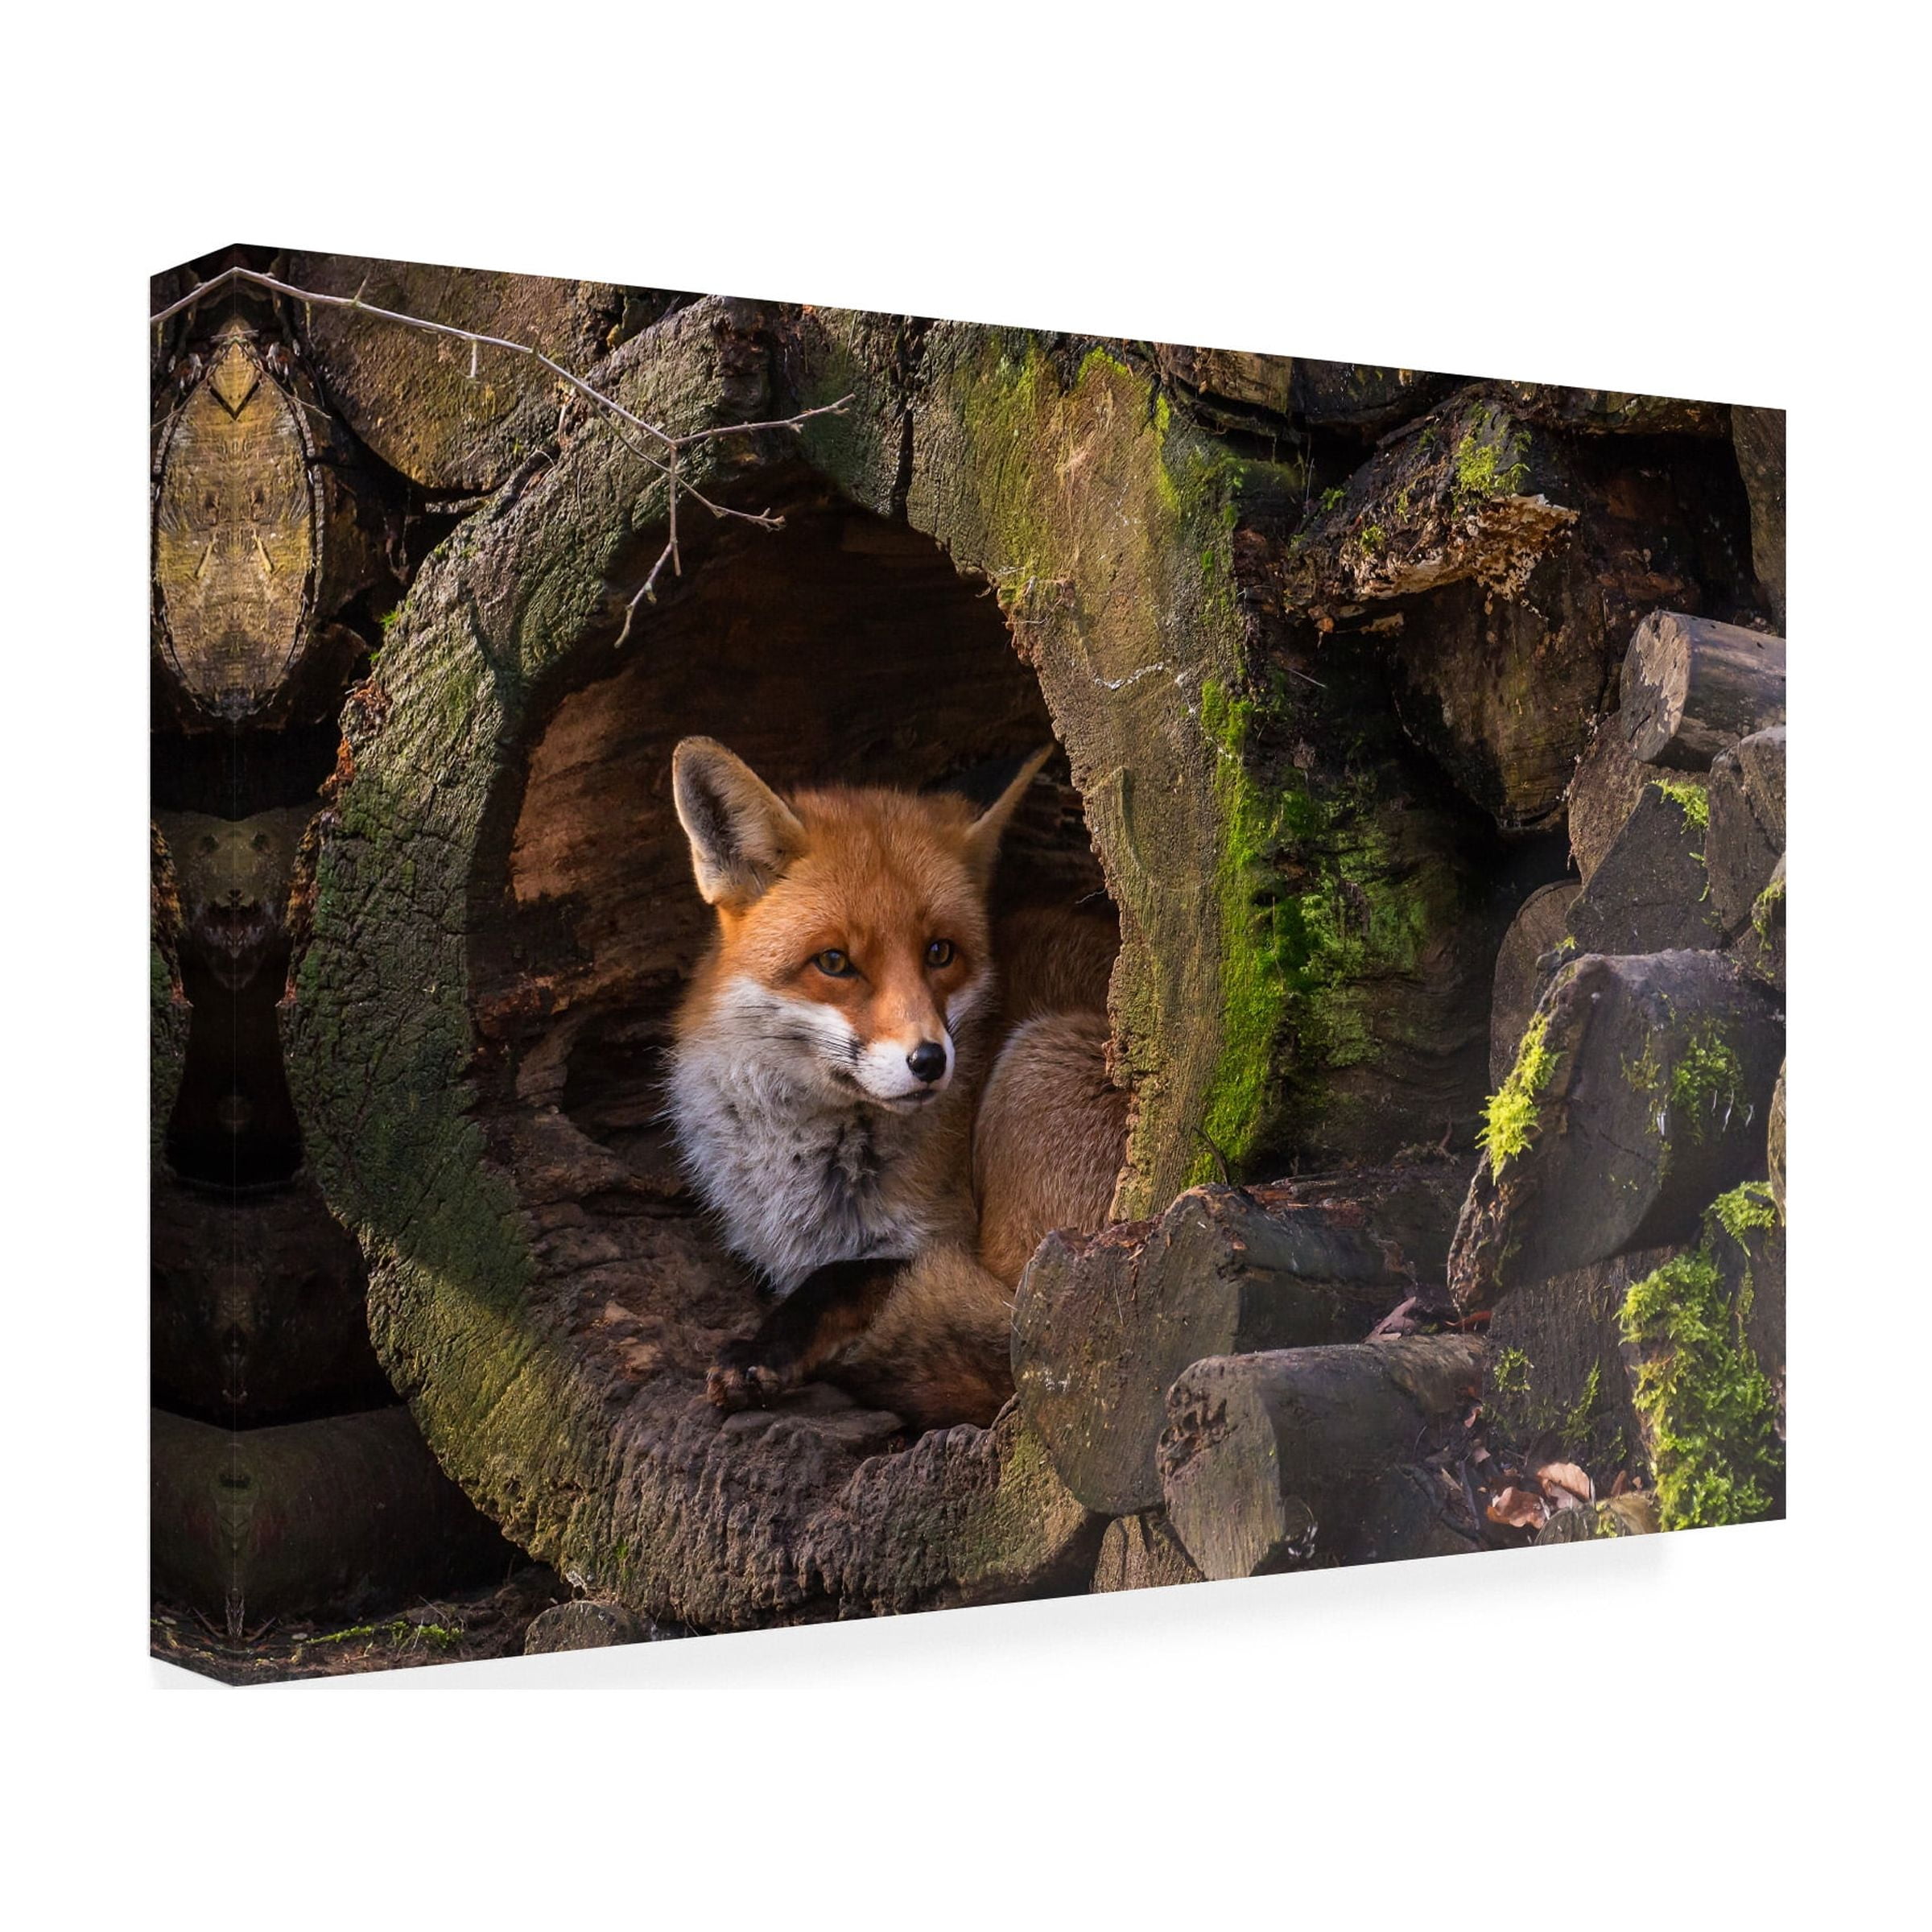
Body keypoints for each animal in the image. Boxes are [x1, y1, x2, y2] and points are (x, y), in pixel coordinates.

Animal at [665, 735, 1128, 1432]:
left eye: (940, 952)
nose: (931, 1061)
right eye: (834, 962)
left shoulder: (937, 1241)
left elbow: (843, 1278)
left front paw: (764, 1349)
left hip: (1035, 1073)